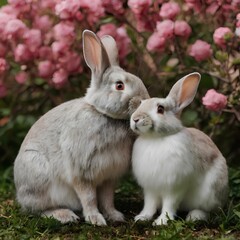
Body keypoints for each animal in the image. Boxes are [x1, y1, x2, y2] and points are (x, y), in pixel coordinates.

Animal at [13, 30, 150, 225]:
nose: (143, 100)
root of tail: (20, 194)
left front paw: (115, 216)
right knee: (39, 209)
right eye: (119, 85)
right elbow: (89, 198)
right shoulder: (82, 173)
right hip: (37, 175)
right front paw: (96, 219)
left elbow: (107, 199)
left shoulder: (108, 176)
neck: (104, 114)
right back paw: (64, 215)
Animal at [130, 72, 228, 225]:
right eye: (140, 104)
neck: (155, 139)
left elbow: (169, 205)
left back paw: (194, 216)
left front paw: (161, 222)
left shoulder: (175, 186)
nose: (135, 119)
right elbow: (149, 204)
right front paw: (142, 217)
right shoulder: (150, 187)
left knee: (206, 210)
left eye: (160, 109)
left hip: (210, 193)